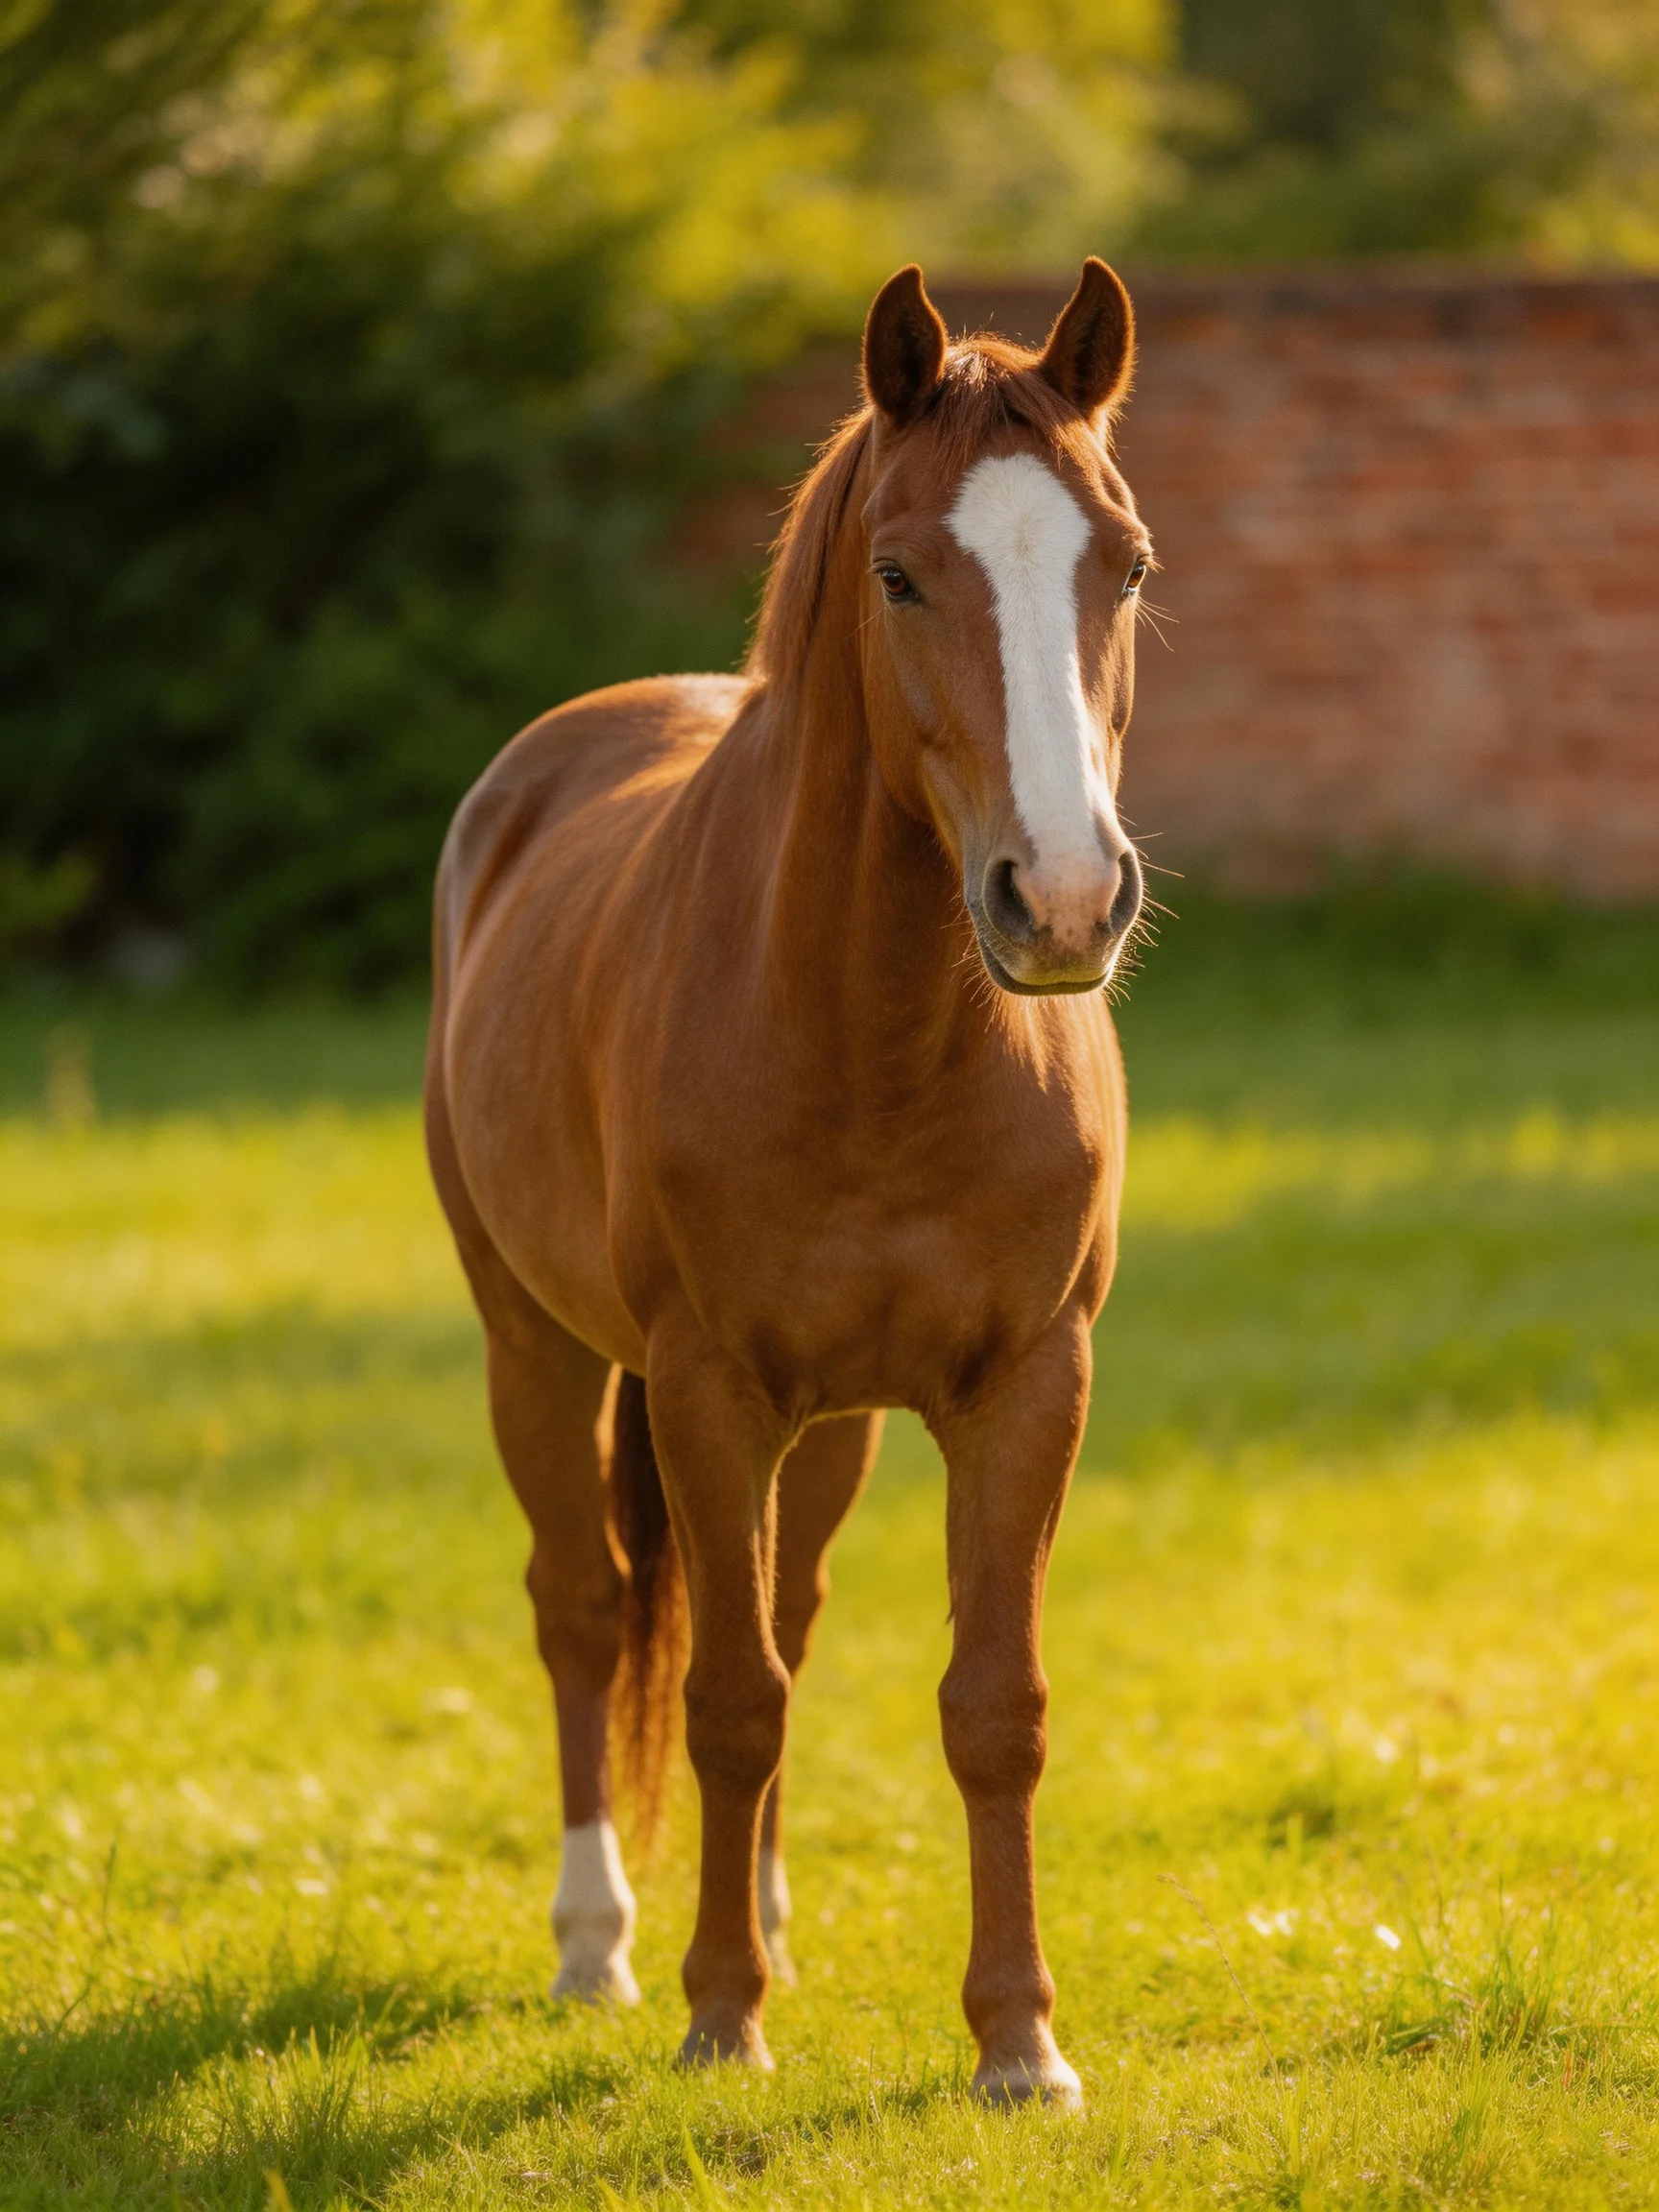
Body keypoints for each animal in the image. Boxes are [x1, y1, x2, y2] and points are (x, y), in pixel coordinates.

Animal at [425, 257, 1151, 2107]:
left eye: (1123, 563)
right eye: (898, 572)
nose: (1060, 899)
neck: (873, 1038)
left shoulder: (1028, 1386)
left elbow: (991, 1701)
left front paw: (1018, 2041)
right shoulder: (705, 1389)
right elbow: (726, 1696)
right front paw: (716, 2013)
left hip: (832, 1429)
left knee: (793, 1612)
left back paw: (762, 1913)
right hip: (537, 1353)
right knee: (585, 1612)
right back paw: (601, 1944)